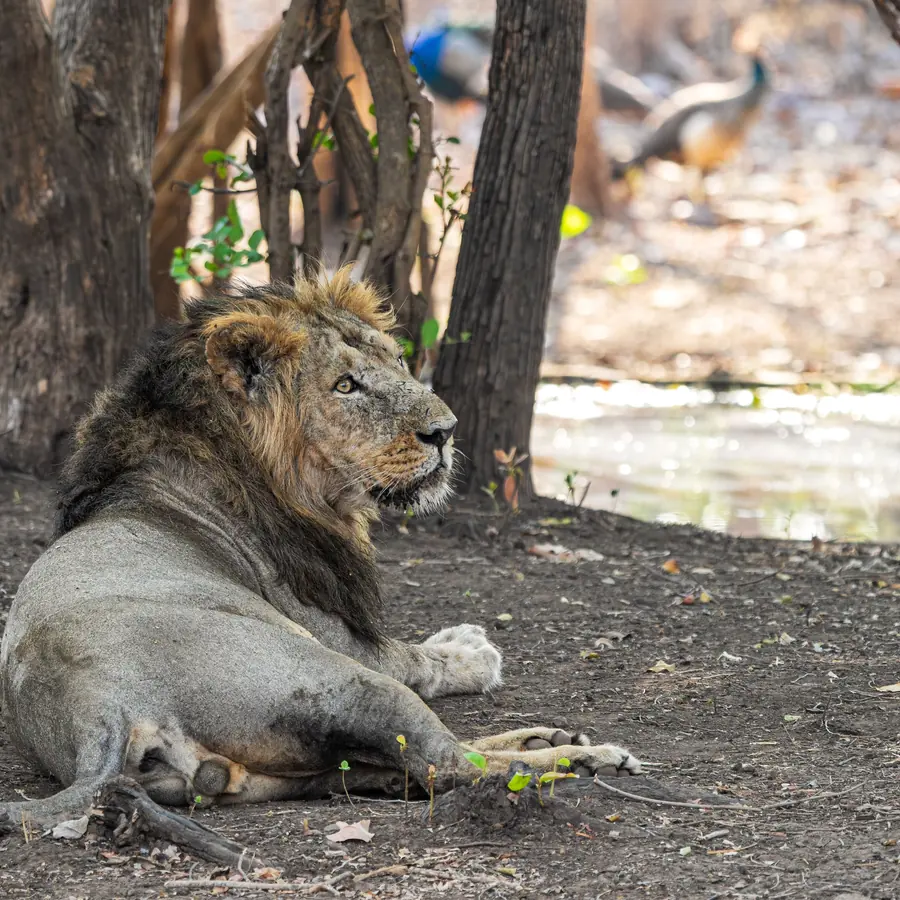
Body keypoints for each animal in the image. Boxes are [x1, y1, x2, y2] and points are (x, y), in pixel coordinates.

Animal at [0, 271, 641, 828]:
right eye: (345, 385)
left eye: (398, 361)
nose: (445, 431)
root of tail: (100, 711)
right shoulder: (342, 636)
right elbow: (418, 659)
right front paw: (471, 650)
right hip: (341, 680)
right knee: (450, 764)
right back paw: (583, 758)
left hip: (265, 768)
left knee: (405, 765)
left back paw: (548, 740)